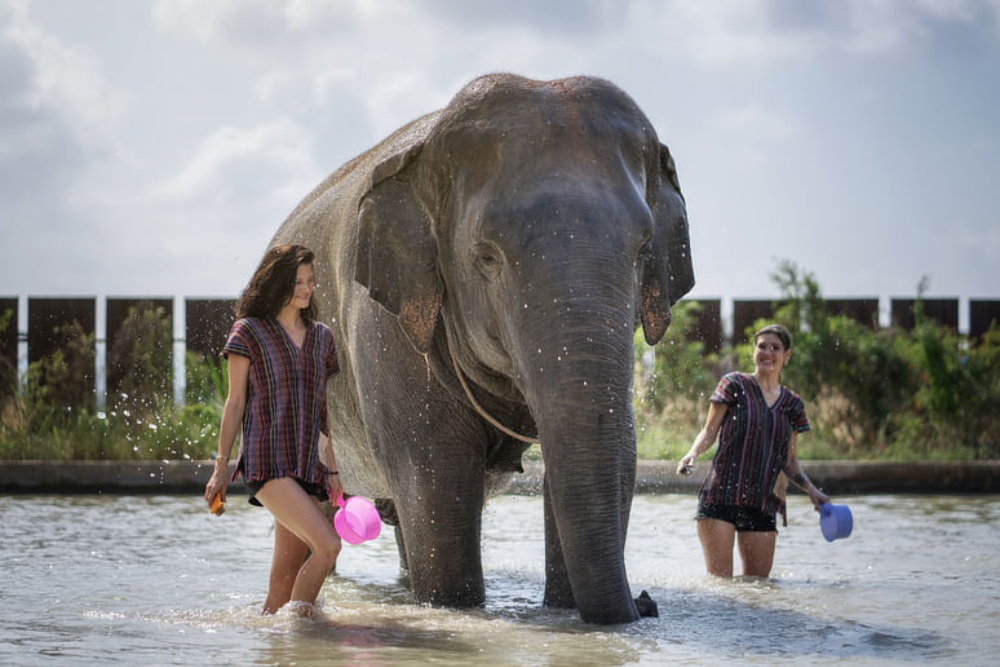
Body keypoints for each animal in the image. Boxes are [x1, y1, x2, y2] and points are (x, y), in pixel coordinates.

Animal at [271, 73, 694, 624]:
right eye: (486, 256)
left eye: (644, 250)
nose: (646, 603)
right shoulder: (385, 328)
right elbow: (436, 474)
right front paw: (454, 608)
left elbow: (614, 456)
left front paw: (564, 610)